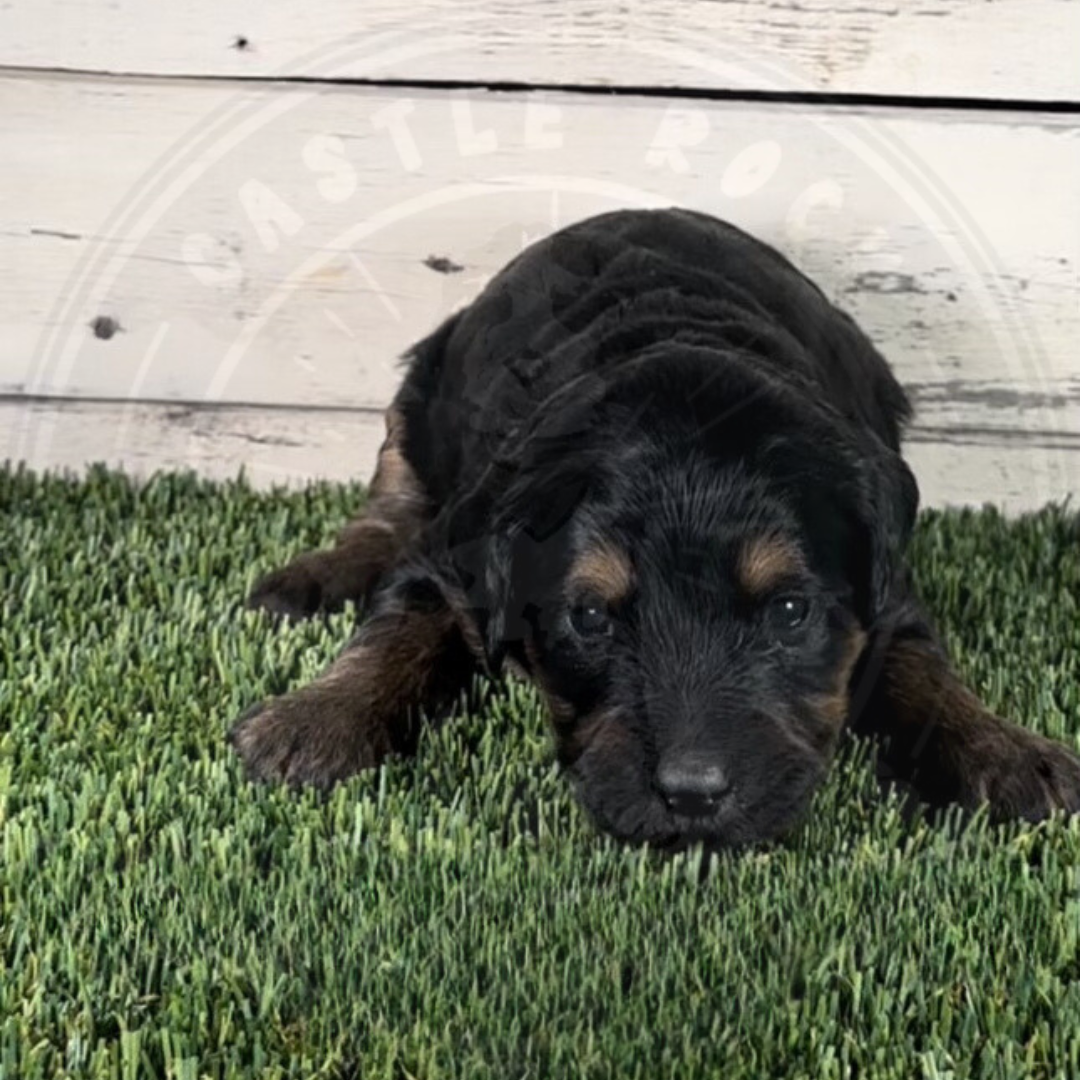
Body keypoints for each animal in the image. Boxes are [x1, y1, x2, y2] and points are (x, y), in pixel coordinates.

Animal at [230, 206, 1080, 846]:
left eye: (790, 611)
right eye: (590, 618)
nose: (693, 796)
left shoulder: (886, 589)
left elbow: (921, 669)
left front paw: (1010, 753)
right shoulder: (456, 554)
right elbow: (397, 628)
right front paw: (312, 722)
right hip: (422, 388)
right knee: (390, 499)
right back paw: (309, 581)